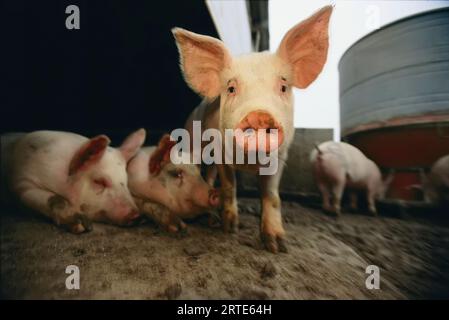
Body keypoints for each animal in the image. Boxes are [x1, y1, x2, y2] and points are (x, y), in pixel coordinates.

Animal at [0, 129, 144, 232]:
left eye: (125, 181)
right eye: (99, 181)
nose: (137, 215)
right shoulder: (21, 180)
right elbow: (54, 198)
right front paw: (82, 226)